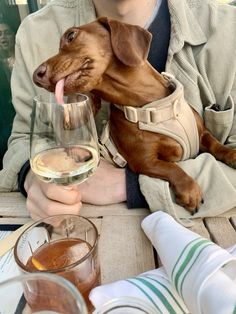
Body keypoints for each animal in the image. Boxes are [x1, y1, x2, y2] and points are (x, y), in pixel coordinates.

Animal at [33, 17, 236, 213]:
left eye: (71, 35)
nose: (36, 76)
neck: (152, 106)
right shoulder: (145, 162)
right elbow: (172, 168)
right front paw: (189, 190)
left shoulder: (201, 133)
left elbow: (216, 144)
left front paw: (231, 154)